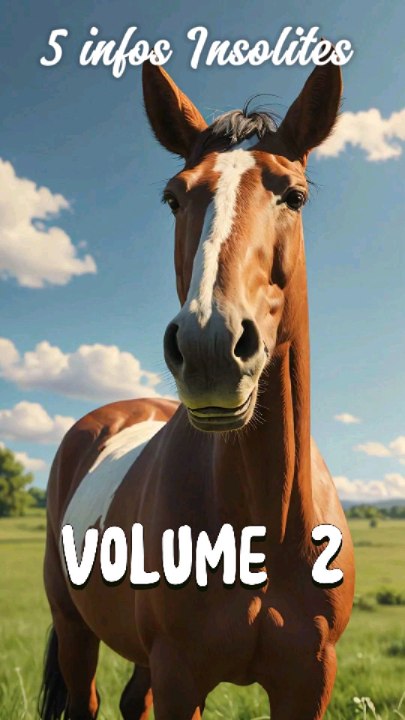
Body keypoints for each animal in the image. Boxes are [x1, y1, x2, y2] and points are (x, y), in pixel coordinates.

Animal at [40, 57, 355, 720]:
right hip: (76, 630)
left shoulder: (309, 679)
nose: (210, 345)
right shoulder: (181, 674)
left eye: (294, 196)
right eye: (173, 198)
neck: (263, 529)